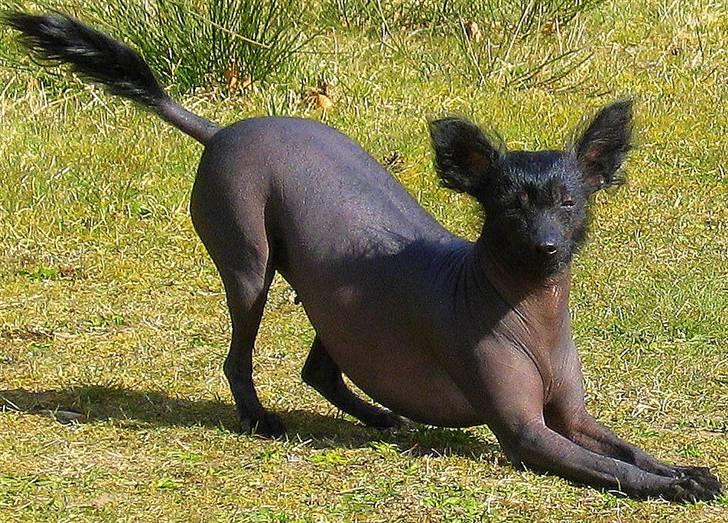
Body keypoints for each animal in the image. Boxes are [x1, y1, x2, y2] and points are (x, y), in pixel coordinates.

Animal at [7, 11, 724, 504]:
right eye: (507, 209)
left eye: (570, 202)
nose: (547, 247)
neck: (527, 308)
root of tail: (224, 128)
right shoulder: (526, 433)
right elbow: (613, 469)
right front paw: (672, 487)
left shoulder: (573, 417)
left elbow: (627, 448)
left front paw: (684, 468)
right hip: (249, 269)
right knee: (240, 356)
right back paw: (260, 419)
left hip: (333, 300)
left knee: (321, 368)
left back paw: (383, 417)